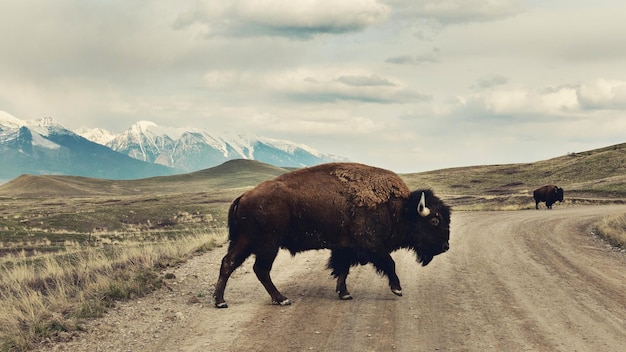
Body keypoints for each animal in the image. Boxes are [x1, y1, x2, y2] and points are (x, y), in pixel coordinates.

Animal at [213, 162, 448, 308]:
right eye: (435, 220)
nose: (445, 247)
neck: (397, 208)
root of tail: (244, 196)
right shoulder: (371, 245)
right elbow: (389, 263)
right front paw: (397, 289)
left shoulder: (345, 248)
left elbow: (343, 269)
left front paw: (344, 293)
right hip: (268, 244)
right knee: (260, 269)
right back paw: (282, 299)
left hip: (245, 241)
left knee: (229, 263)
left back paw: (220, 301)